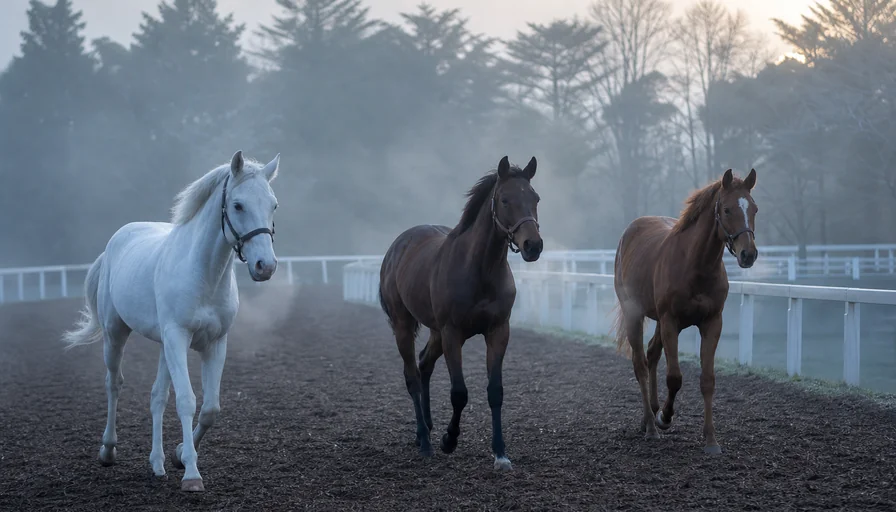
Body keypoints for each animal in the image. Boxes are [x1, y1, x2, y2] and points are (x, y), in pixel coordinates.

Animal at [62, 150, 281, 492]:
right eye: (237, 205)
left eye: (273, 204)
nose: (265, 266)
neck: (203, 275)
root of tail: (115, 242)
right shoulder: (178, 337)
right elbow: (187, 402)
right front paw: (191, 473)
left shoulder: (215, 342)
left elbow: (210, 408)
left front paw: (179, 456)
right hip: (116, 334)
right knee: (114, 384)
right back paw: (108, 450)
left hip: (163, 345)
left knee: (157, 397)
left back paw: (157, 462)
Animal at [378, 156, 543, 470]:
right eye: (505, 200)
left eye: (535, 198)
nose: (533, 246)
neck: (480, 270)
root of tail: (397, 247)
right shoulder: (453, 333)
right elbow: (459, 394)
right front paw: (449, 440)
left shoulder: (498, 331)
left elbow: (495, 392)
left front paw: (500, 454)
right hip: (405, 325)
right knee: (412, 376)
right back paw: (425, 440)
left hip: (435, 332)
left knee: (424, 364)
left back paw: (427, 428)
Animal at [612, 168, 758, 454]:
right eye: (726, 210)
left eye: (754, 209)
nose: (748, 254)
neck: (695, 265)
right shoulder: (671, 321)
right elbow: (674, 378)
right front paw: (665, 417)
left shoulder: (712, 322)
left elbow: (708, 379)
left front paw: (711, 439)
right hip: (635, 314)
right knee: (640, 364)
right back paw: (651, 424)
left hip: (658, 320)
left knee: (651, 354)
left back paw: (650, 414)